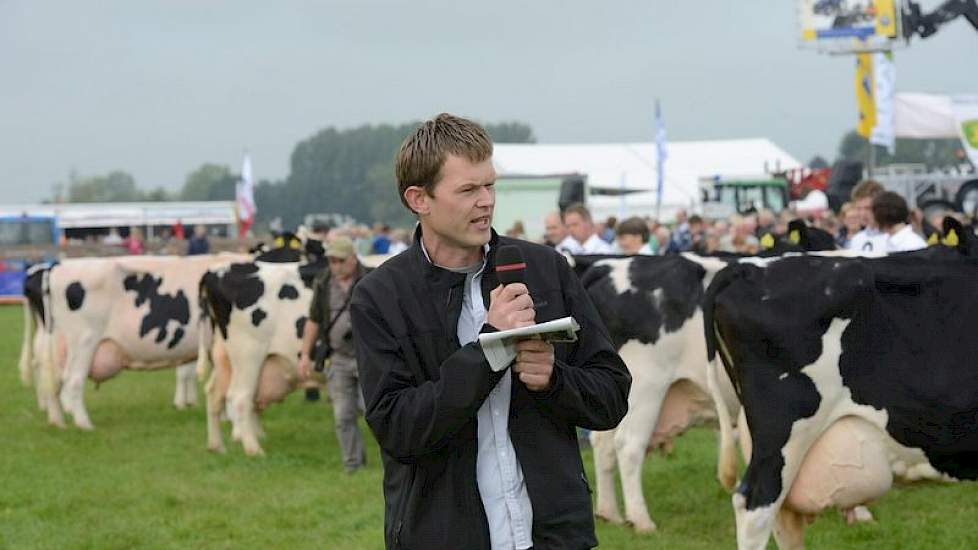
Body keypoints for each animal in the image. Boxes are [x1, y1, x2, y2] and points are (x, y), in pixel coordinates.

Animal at [38, 254, 246, 432]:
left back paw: (58, 423)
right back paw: (84, 425)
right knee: (73, 380)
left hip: (58, 346)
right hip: (84, 341)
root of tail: (57, 268)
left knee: (54, 382)